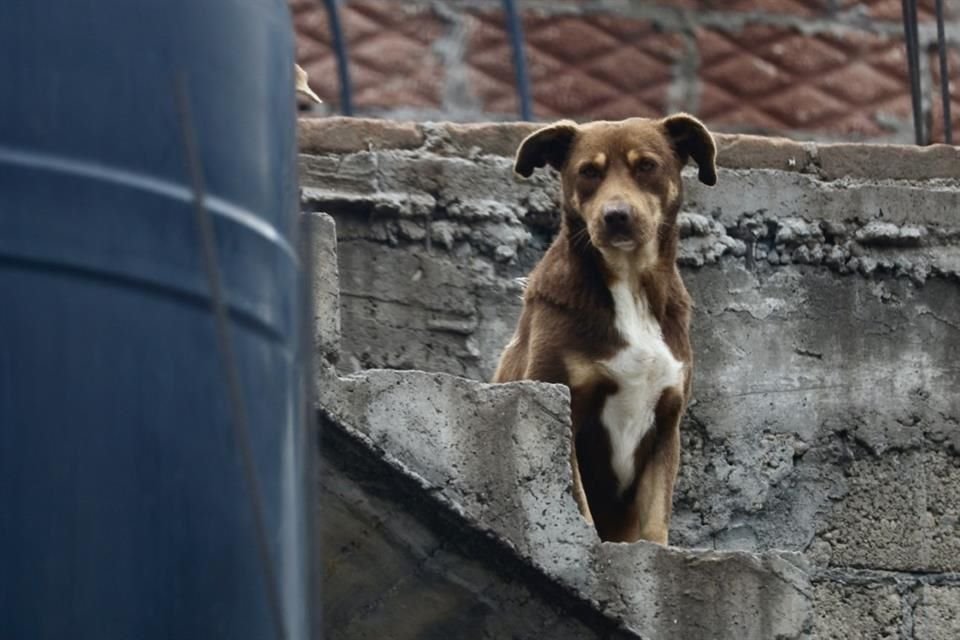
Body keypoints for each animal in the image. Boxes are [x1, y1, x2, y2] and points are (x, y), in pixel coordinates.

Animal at [496, 115, 712, 544]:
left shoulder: (666, 424)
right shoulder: (563, 406)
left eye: (646, 165)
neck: (629, 284)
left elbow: (654, 522)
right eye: (588, 172)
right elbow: (580, 505)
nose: (616, 215)